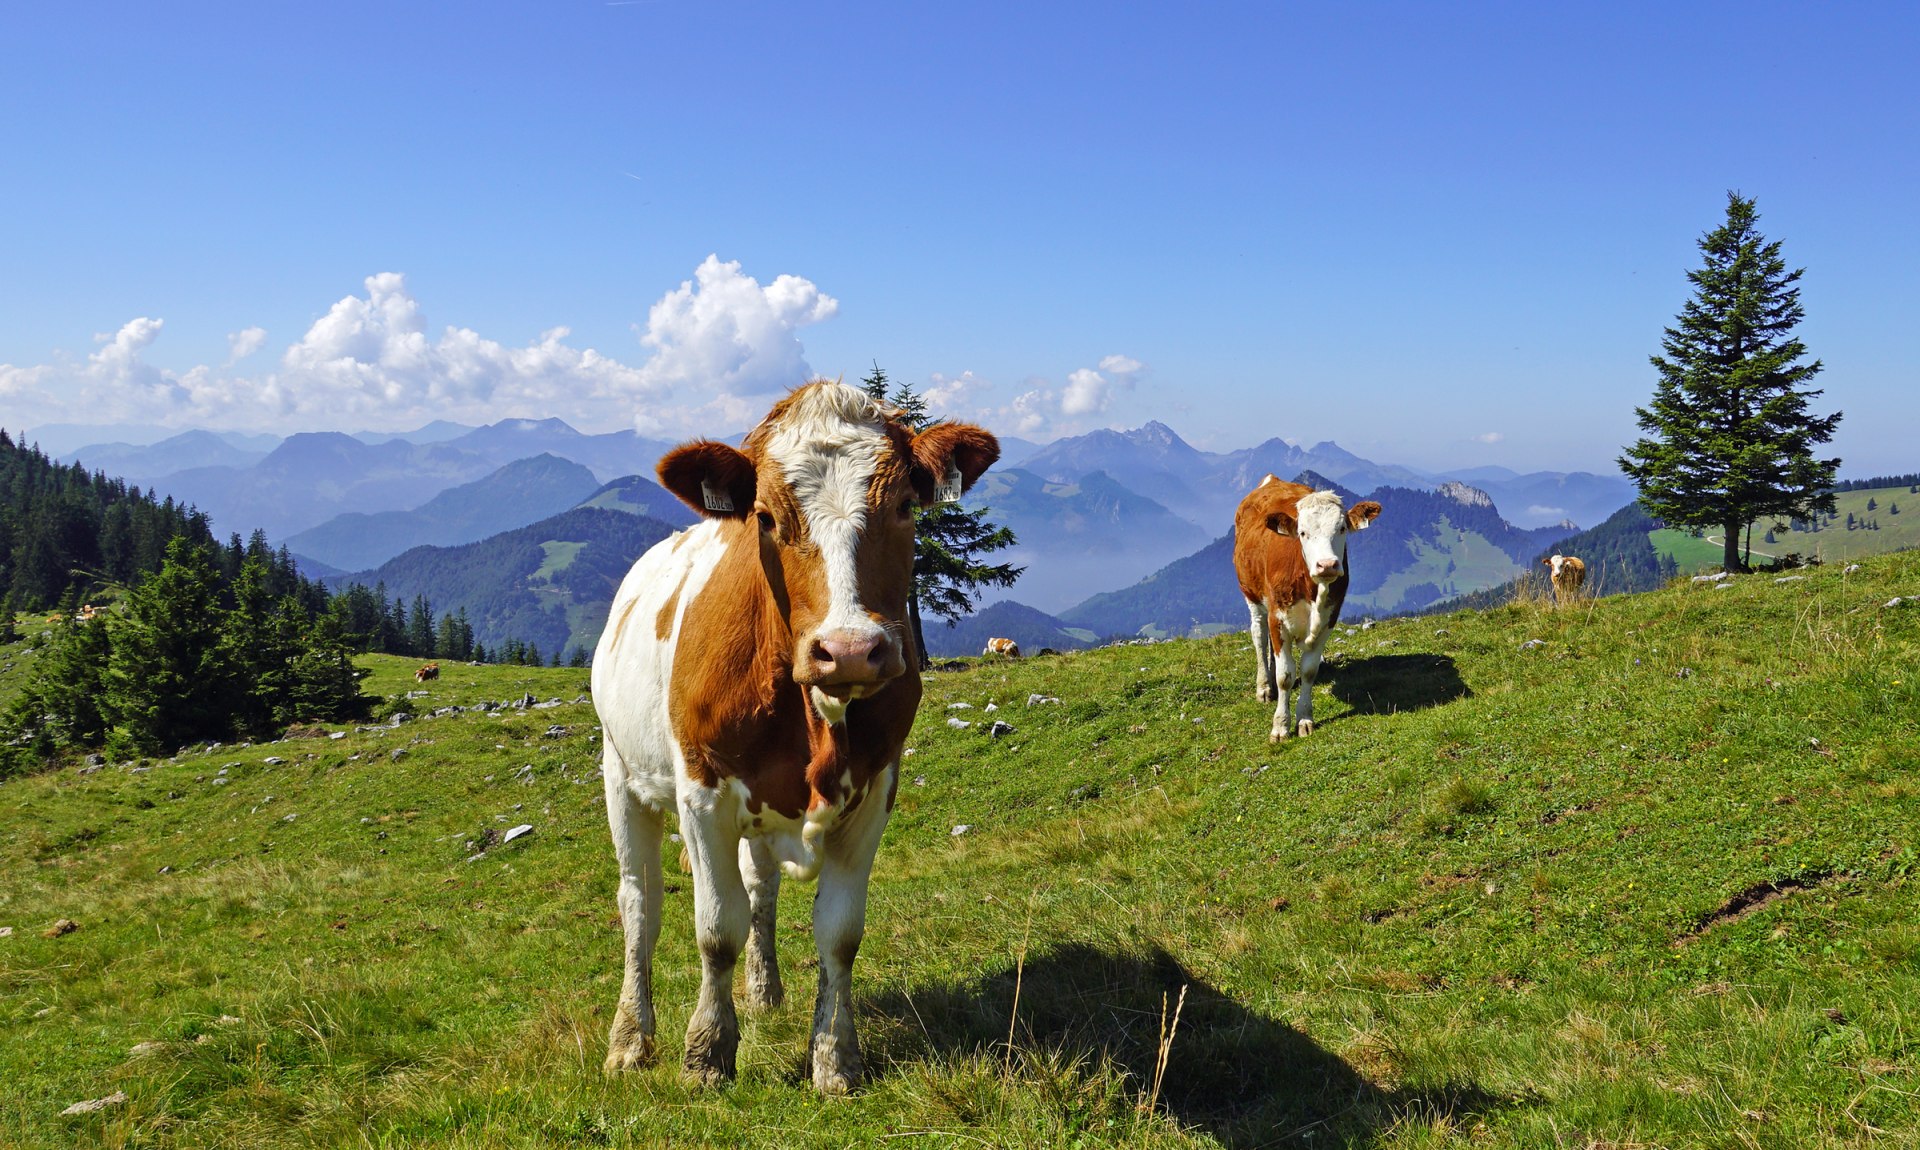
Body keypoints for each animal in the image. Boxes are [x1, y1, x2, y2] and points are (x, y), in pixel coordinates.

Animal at [591, 382, 998, 1090]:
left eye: (903, 506)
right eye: (765, 517)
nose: (851, 649)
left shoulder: (875, 792)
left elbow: (839, 933)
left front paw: (835, 1058)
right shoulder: (702, 793)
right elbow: (714, 929)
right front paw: (706, 1054)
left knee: (760, 888)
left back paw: (763, 990)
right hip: (623, 776)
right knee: (639, 906)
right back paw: (630, 1040)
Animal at [1228, 474, 1382, 737]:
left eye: (1342, 528)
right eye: (1302, 532)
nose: (1327, 565)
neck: (1313, 592)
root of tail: (1272, 479)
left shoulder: (1329, 619)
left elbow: (1308, 671)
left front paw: (1304, 720)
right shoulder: (1277, 617)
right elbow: (1285, 675)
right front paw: (1280, 726)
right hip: (1252, 595)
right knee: (1259, 635)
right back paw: (1264, 687)